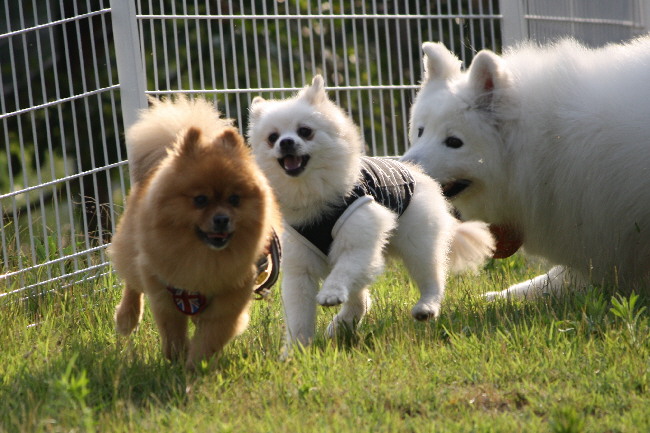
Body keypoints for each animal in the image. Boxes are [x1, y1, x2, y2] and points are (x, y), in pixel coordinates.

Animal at [110, 96, 281, 369]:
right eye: (200, 200)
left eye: (235, 200)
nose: (221, 219)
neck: (203, 256)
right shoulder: (164, 294)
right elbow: (172, 333)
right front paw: (176, 359)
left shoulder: (228, 303)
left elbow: (209, 339)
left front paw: (194, 367)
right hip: (135, 252)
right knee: (132, 282)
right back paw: (126, 318)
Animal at [248, 75, 495, 348]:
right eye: (272, 137)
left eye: (305, 131)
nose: (286, 142)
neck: (309, 192)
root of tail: (416, 172)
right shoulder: (300, 269)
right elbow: (299, 315)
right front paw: (296, 350)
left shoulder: (360, 239)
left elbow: (345, 267)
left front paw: (331, 292)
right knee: (362, 298)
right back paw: (341, 325)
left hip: (416, 241)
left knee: (431, 274)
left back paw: (426, 307)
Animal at [401, 37, 650, 299]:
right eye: (421, 131)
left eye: (454, 142)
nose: (405, 170)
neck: (545, 139)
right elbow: (546, 281)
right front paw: (494, 297)